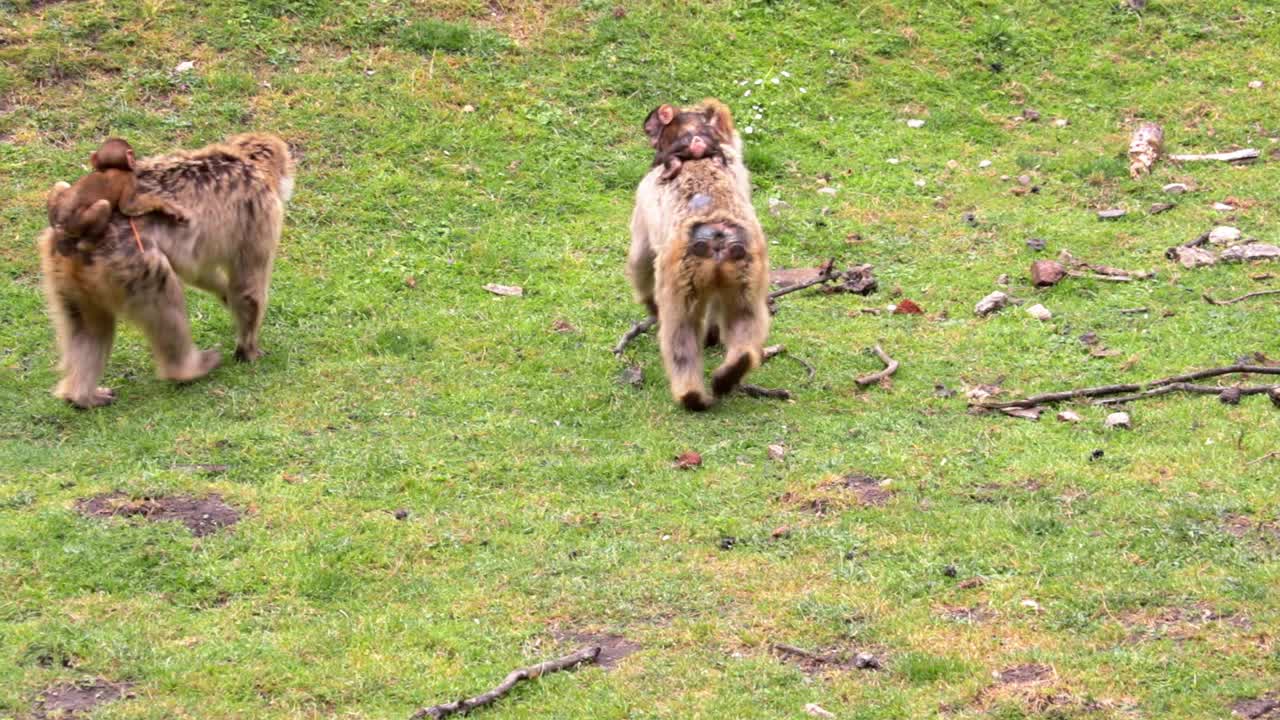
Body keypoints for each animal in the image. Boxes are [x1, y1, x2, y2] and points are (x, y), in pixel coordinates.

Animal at [38, 131, 293, 407]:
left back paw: (81, 396)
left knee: (89, 327)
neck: (245, 162)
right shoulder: (263, 212)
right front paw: (248, 349)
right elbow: (248, 290)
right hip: (131, 266)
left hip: (66, 276)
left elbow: (193, 268)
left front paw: (225, 294)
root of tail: (71, 239)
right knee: (164, 299)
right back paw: (187, 369)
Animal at [629, 98, 768, 409]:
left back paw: (690, 394)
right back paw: (732, 370)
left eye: (652, 127)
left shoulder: (643, 194)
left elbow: (640, 258)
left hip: (680, 274)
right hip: (748, 267)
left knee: (680, 330)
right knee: (746, 315)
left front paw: (650, 306)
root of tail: (716, 234)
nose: (649, 134)